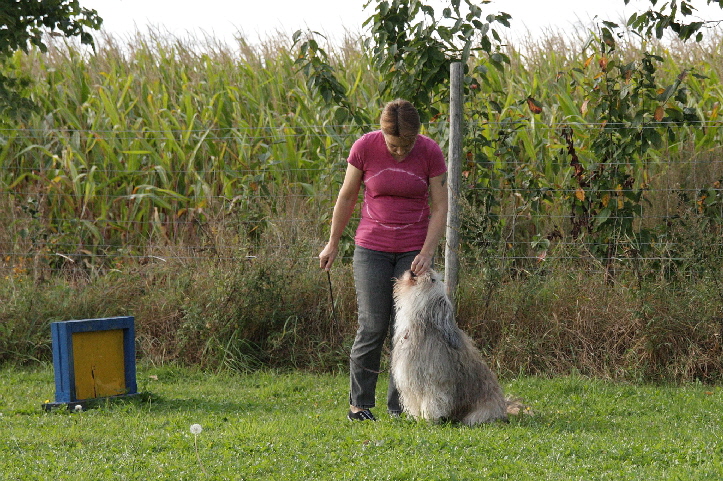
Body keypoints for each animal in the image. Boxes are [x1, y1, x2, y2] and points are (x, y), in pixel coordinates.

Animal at [390, 270, 510, 424]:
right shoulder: (410, 383)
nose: (414, 271)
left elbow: (432, 402)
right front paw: (416, 418)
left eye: (432, 279)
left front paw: (429, 420)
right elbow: (414, 403)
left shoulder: (435, 383)